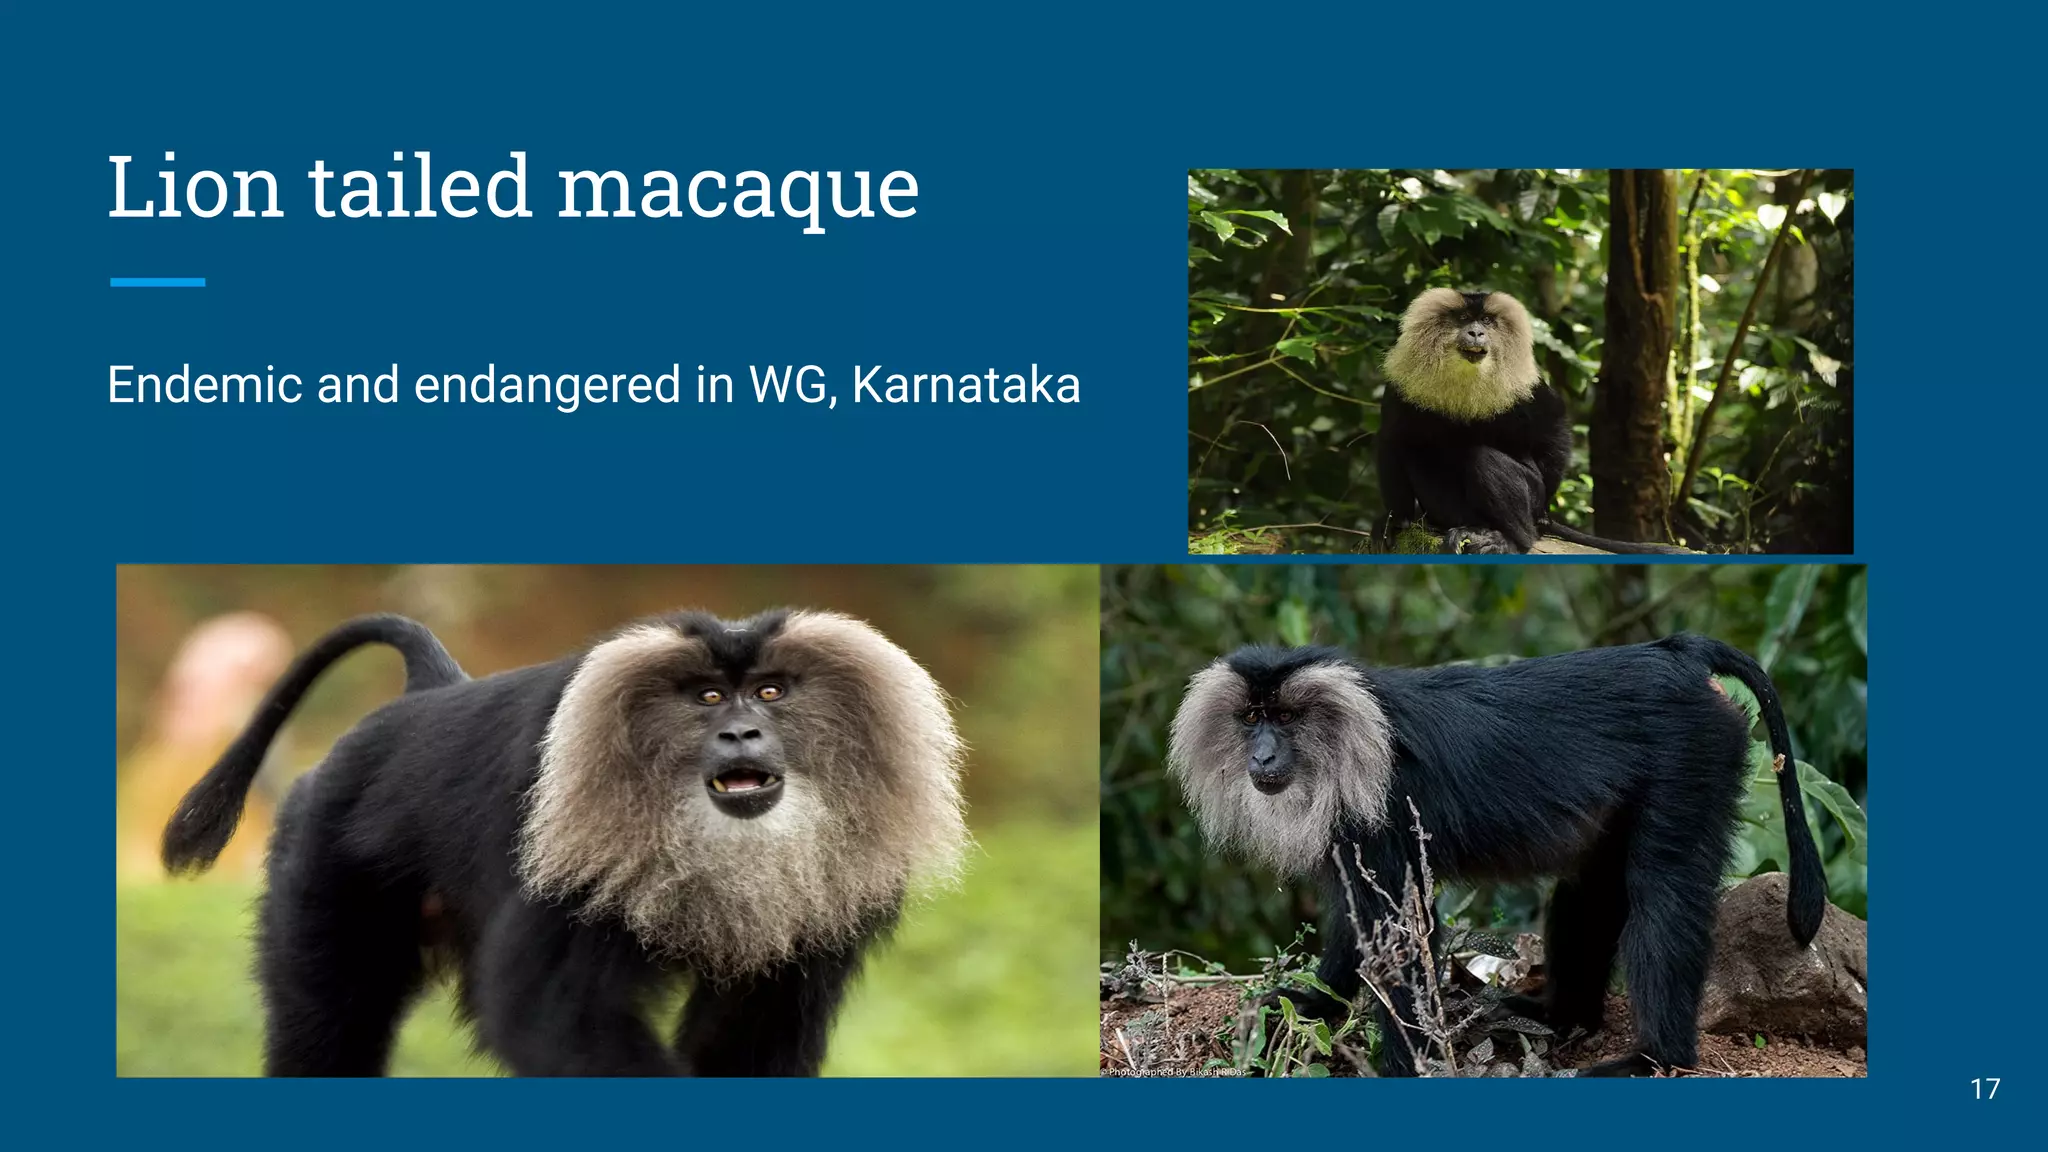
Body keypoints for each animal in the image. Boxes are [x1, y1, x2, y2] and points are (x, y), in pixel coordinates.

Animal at [160, 609, 968, 1077]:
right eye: (708, 697)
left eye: (770, 692)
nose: (742, 733)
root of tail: (425, 698)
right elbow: (549, 1017)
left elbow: (747, 1035)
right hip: (321, 865)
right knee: (329, 1027)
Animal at [1166, 633, 1826, 1077]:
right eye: (1252, 718)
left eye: (1287, 717)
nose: (1262, 755)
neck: (1349, 734)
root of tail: (1679, 654)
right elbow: (1363, 929)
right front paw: (1310, 1005)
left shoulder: (1385, 807)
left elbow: (1401, 933)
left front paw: (1407, 1063)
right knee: (1593, 887)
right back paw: (1564, 1017)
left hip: (1694, 754)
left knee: (1663, 892)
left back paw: (1658, 1058)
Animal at [1377, 287, 1691, 554]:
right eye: (1463, 318)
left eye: (1487, 321)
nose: (1476, 332)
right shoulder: (1401, 385)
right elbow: (1393, 439)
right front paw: (1394, 523)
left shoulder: (1529, 389)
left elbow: (1554, 429)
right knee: (1418, 452)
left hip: (1531, 496)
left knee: (1484, 459)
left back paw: (1512, 538)